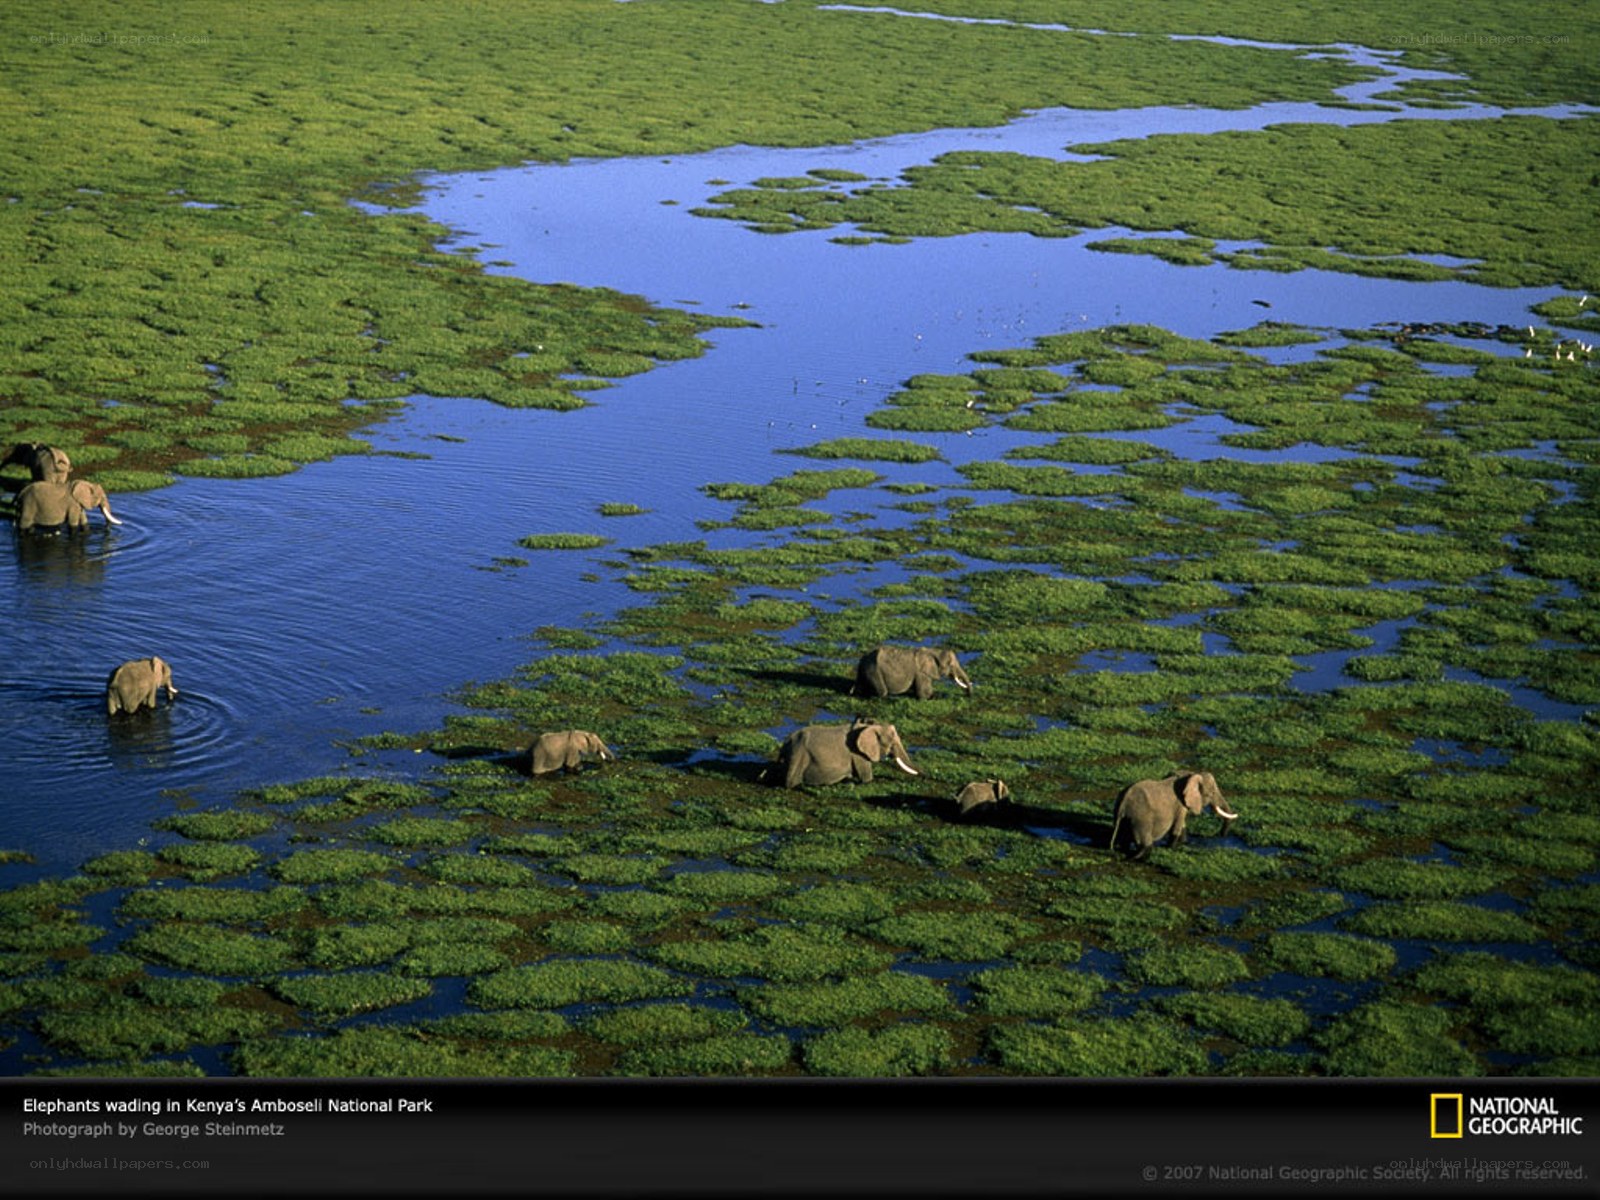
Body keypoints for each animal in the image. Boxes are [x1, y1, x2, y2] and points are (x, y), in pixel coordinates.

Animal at [770, 717, 919, 788]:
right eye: (892, 740)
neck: (867, 726)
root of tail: (786, 742)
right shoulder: (857, 754)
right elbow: (866, 778)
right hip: (798, 754)